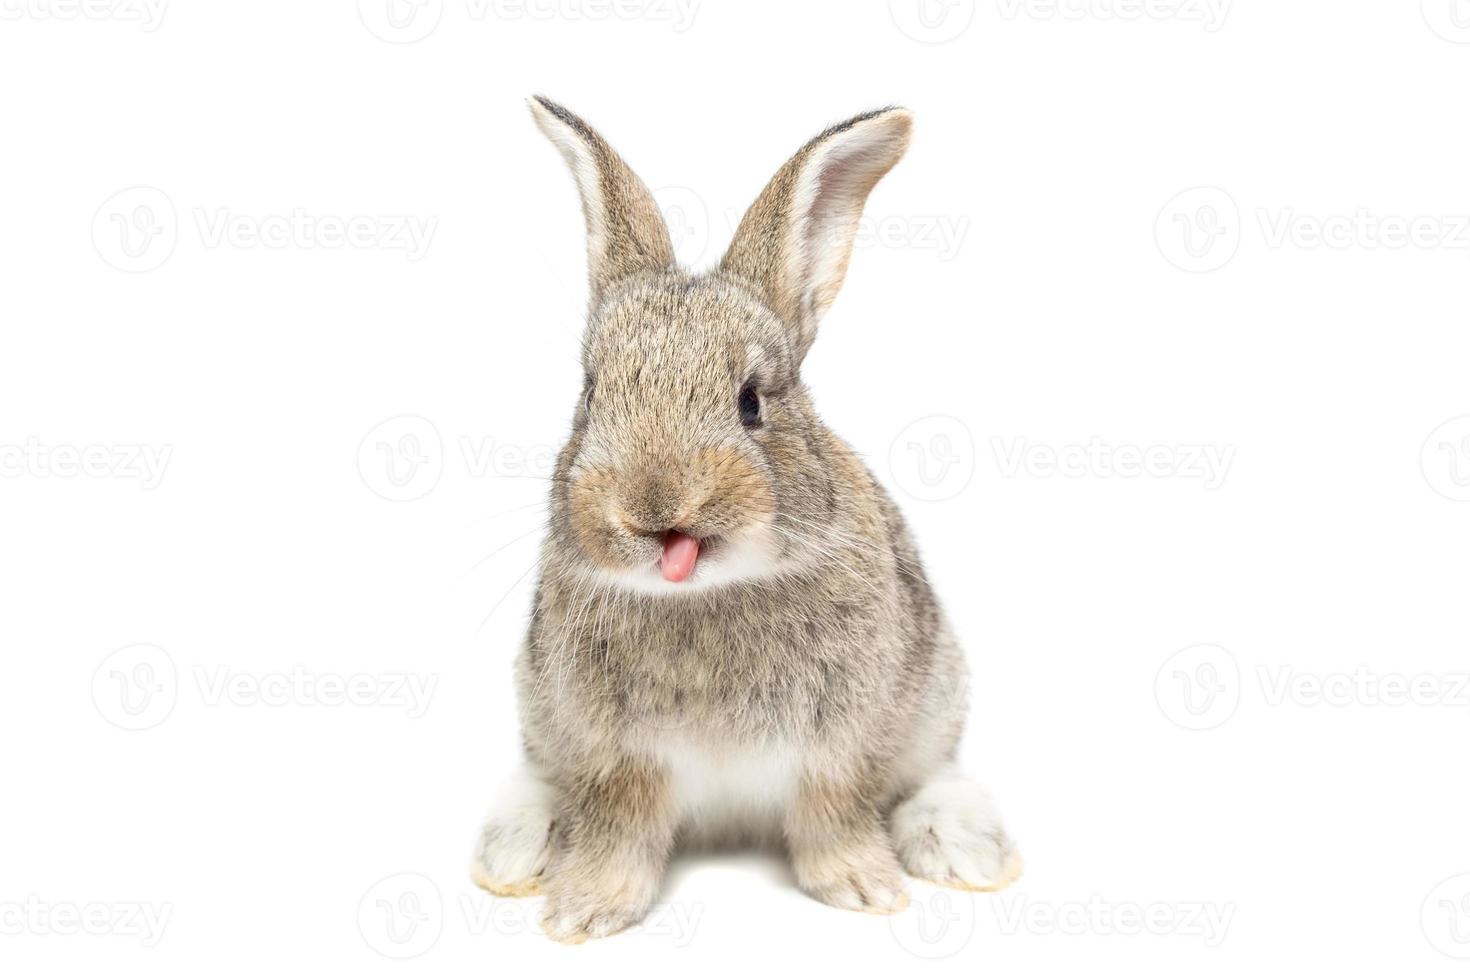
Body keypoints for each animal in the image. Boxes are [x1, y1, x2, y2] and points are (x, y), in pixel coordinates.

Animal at [470, 97, 1023, 940]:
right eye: (592, 394)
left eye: (752, 402)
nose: (653, 508)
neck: (706, 593)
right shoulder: (617, 759)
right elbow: (620, 827)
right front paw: (585, 911)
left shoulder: (841, 744)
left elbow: (834, 812)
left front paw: (864, 889)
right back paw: (516, 850)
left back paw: (963, 849)